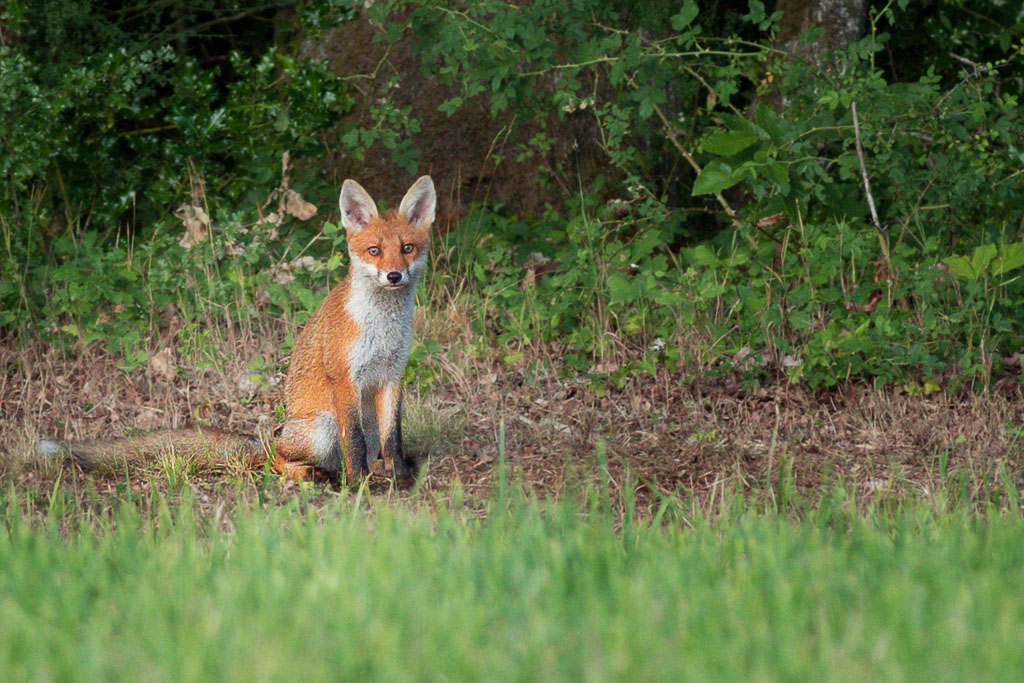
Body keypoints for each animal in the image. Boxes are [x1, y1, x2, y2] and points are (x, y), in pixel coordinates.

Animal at [38, 176, 436, 485]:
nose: (394, 276)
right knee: (280, 461)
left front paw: (400, 478)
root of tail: (273, 438)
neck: (382, 328)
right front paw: (359, 486)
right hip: (320, 428)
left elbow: (393, 439)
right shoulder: (345, 379)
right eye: (374, 251)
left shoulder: (392, 376)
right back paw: (317, 475)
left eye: (406, 248)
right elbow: (353, 442)